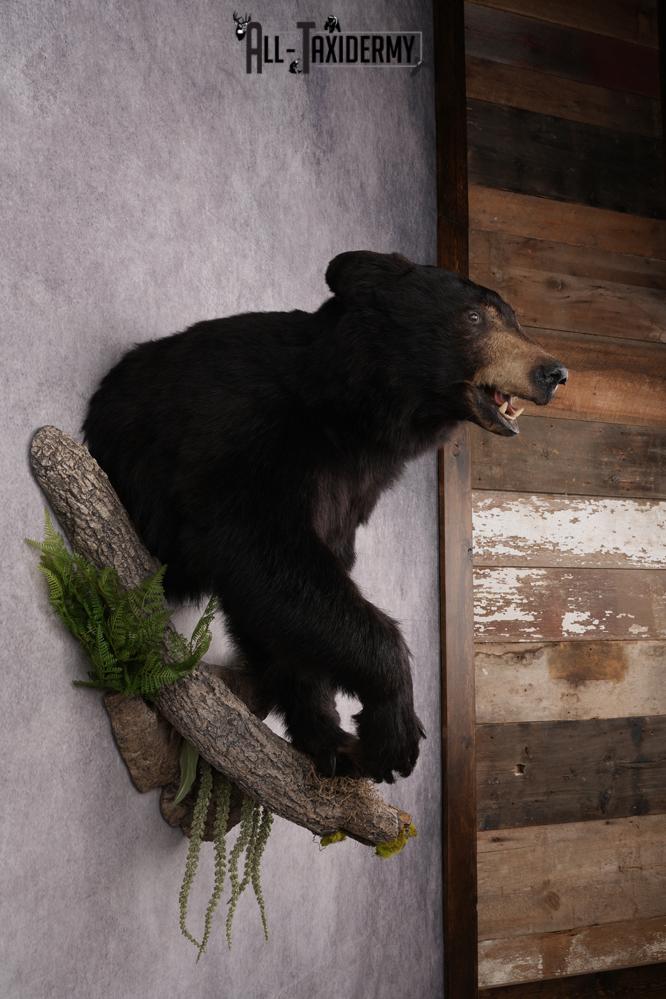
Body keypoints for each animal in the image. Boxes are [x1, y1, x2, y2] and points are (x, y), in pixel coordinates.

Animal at [83, 250, 567, 783]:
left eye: (515, 317)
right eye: (476, 316)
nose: (554, 371)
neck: (347, 412)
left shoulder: (349, 493)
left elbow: (286, 607)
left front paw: (330, 740)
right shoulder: (243, 436)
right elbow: (267, 558)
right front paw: (394, 728)